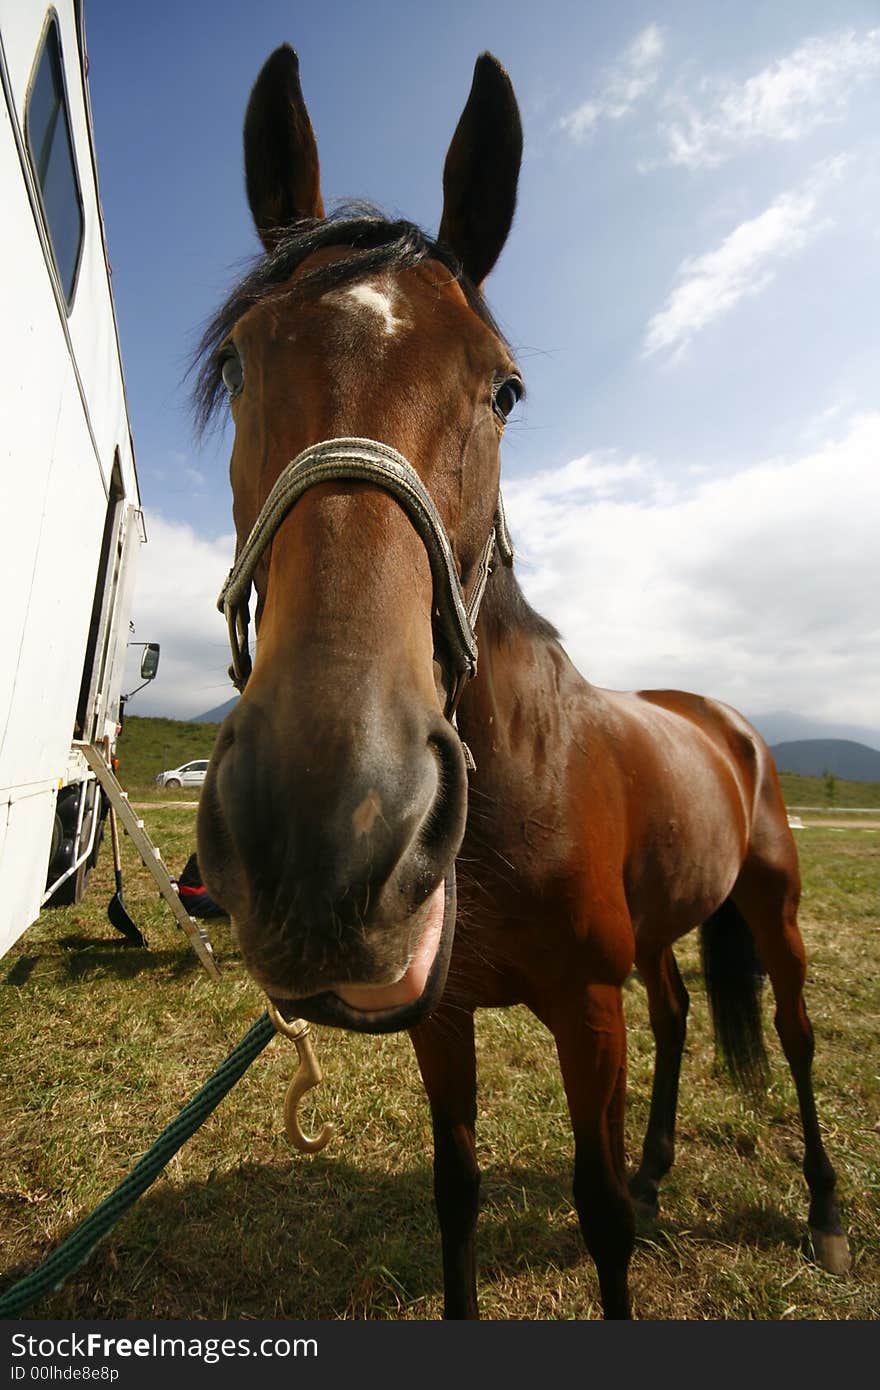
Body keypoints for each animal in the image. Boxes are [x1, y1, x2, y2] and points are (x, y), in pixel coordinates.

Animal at [197, 46, 845, 1323]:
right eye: (240, 362)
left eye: (502, 390)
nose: (328, 826)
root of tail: (726, 722)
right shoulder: (439, 1014)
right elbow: (456, 1193)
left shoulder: (584, 1008)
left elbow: (594, 1217)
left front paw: (624, 1212)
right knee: (681, 1015)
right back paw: (659, 1168)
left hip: (774, 907)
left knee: (794, 1036)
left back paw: (826, 1208)